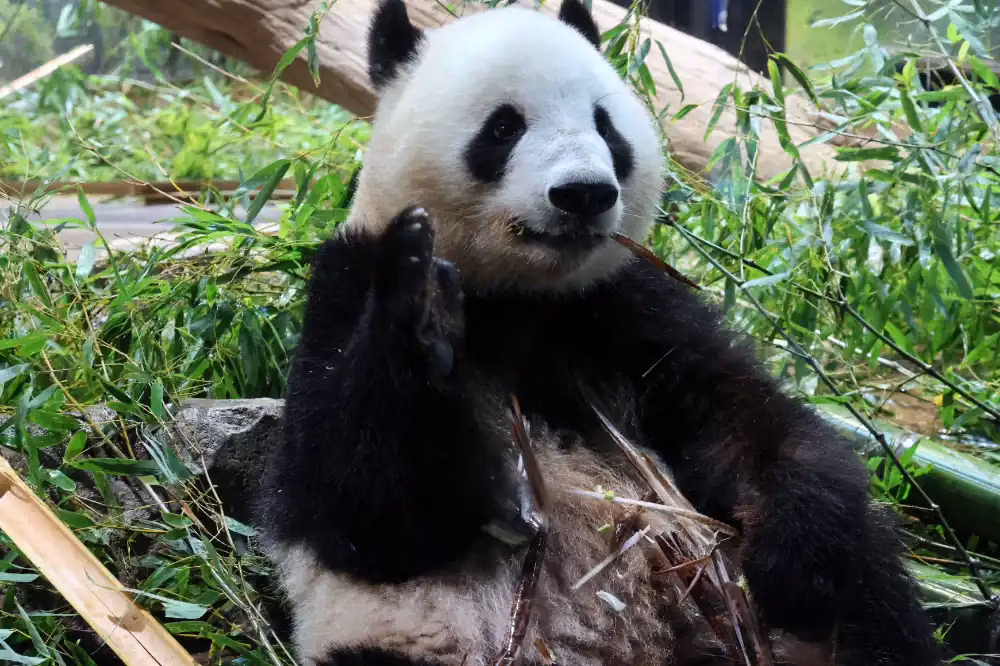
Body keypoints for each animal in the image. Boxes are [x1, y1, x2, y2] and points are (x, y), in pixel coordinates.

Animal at [257, 1, 941, 664]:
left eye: (605, 126)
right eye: (503, 128)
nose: (583, 193)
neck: (519, 295)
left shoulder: (624, 303)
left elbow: (741, 413)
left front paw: (794, 552)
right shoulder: (345, 284)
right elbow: (361, 503)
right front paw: (422, 318)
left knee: (872, 598)